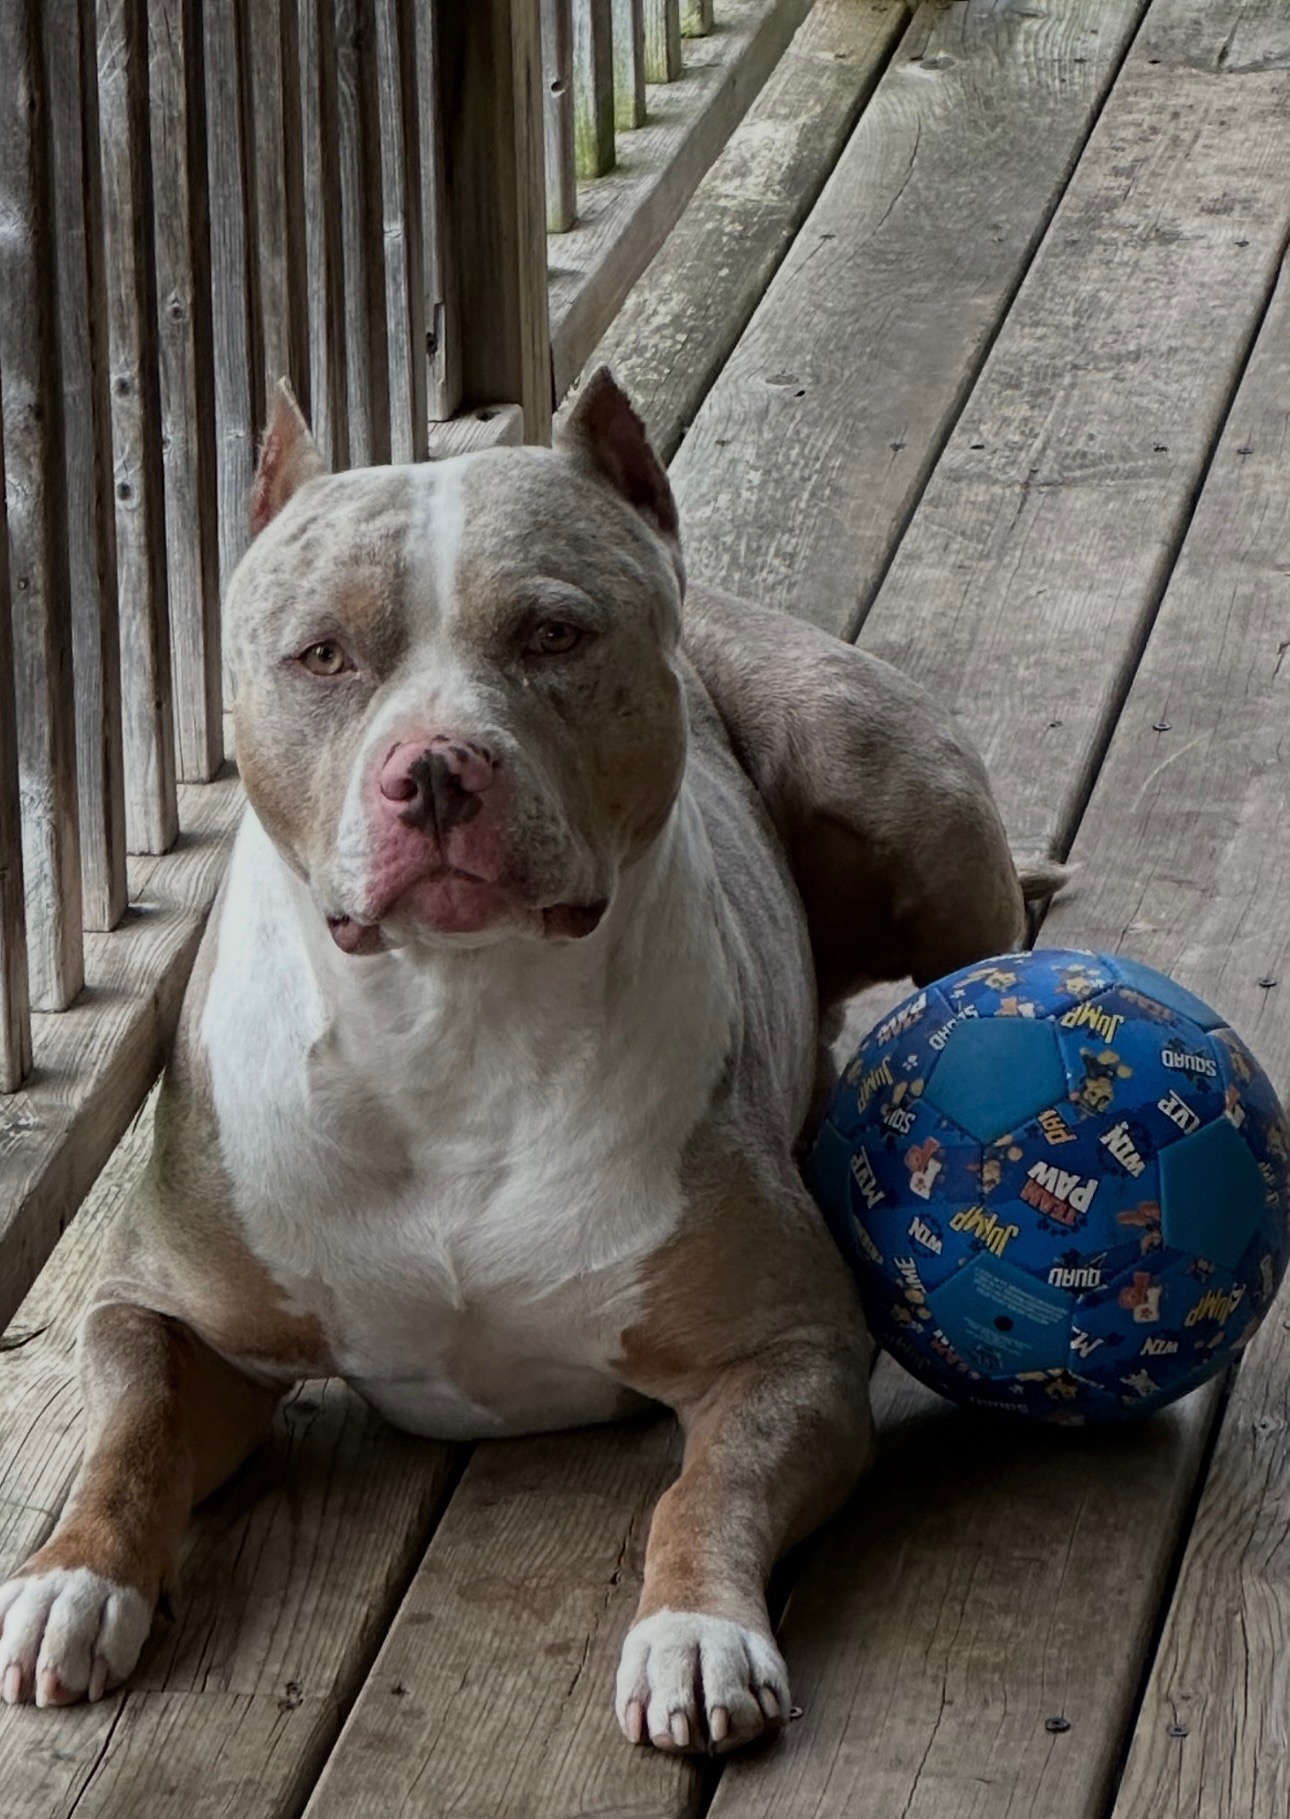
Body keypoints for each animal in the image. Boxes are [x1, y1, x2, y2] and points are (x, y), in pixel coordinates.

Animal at [0, 370, 1042, 1749]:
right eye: (322, 655)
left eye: (554, 634)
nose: (435, 771)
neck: (452, 1029)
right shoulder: (163, 1307)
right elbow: (134, 1430)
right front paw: (70, 1578)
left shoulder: (791, 1349)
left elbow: (703, 1491)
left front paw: (696, 1631)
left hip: (883, 772)